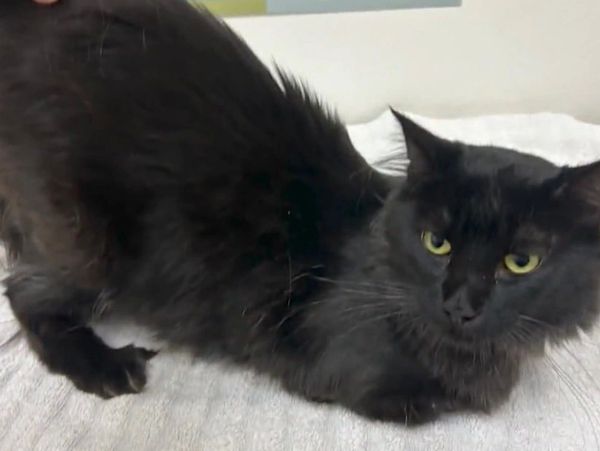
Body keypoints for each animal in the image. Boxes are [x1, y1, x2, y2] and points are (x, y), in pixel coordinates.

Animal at [0, 0, 599, 425]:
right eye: (438, 243)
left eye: (521, 262)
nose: (461, 305)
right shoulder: (348, 377)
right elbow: (423, 403)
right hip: (88, 240)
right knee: (24, 293)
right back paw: (105, 366)